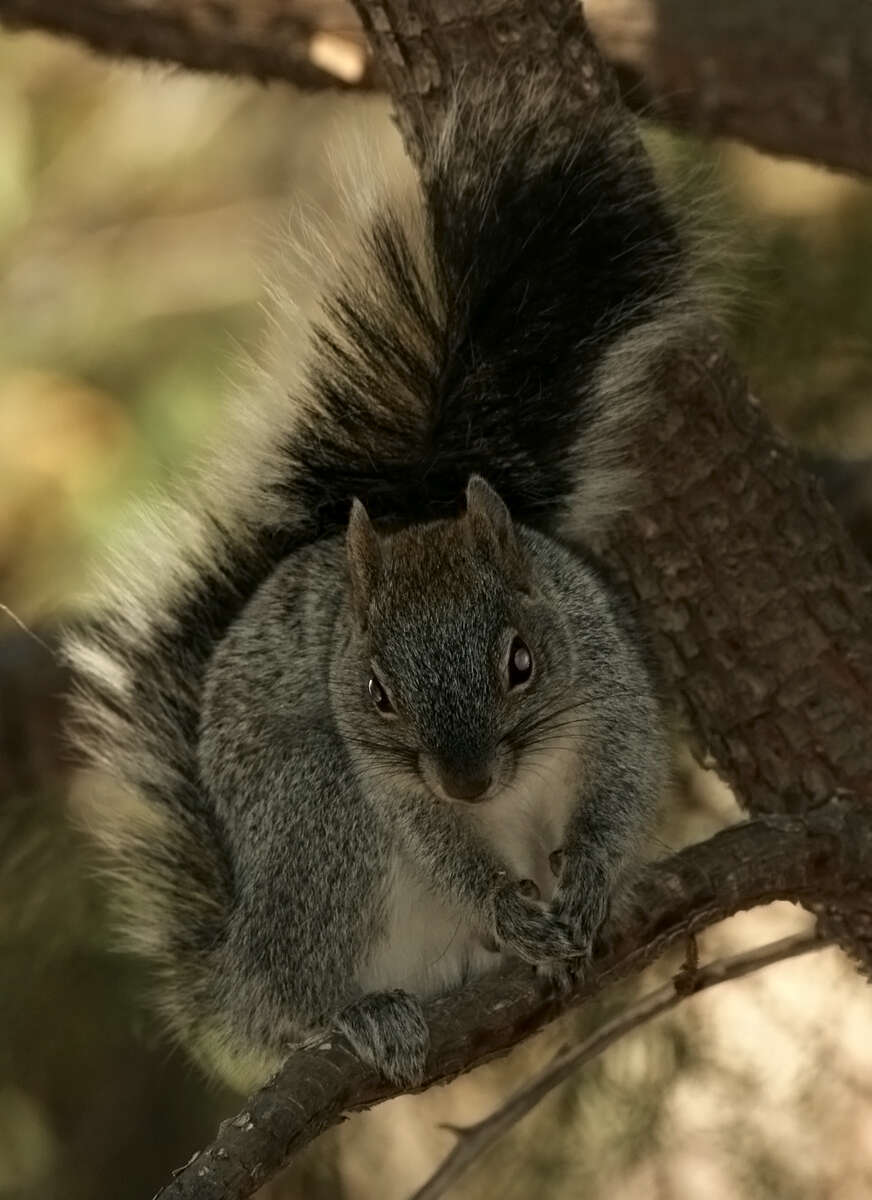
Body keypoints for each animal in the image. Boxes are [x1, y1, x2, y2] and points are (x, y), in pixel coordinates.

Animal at [64, 70, 700, 1094]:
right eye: (376, 690)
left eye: (522, 663)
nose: (468, 783)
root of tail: (235, 964)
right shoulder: (392, 786)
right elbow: (439, 848)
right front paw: (506, 900)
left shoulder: (614, 694)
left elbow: (625, 786)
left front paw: (592, 880)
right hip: (321, 824)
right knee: (294, 999)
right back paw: (356, 1014)